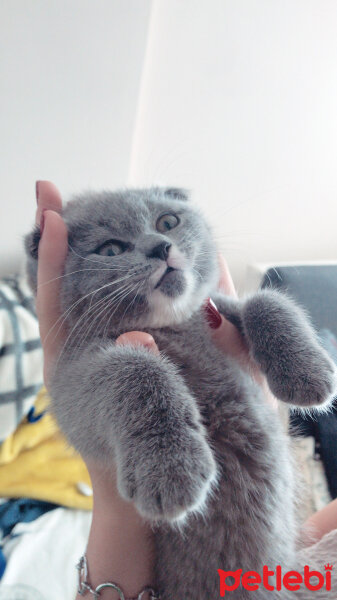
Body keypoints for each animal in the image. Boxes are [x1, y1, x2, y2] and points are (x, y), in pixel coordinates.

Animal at [25, 189, 334, 600]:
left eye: (167, 222)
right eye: (110, 249)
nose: (161, 247)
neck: (171, 326)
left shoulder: (217, 307)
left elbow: (264, 301)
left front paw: (310, 374)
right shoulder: (70, 381)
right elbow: (136, 368)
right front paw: (172, 469)